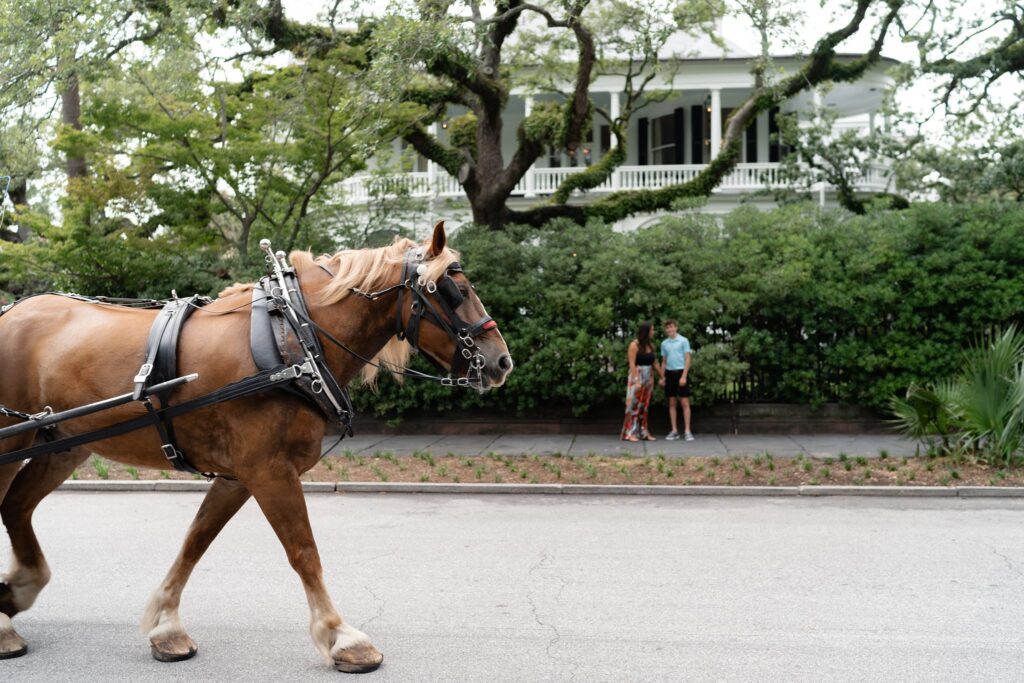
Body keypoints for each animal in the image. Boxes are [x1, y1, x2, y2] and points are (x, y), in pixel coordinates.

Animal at [0, 223, 512, 671]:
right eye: (454, 290)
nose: (502, 361)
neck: (294, 340)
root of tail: (11, 312)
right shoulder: (269, 471)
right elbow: (303, 551)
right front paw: (342, 637)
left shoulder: (238, 475)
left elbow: (196, 541)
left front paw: (166, 627)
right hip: (17, 439)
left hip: (62, 447)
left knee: (17, 508)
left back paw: (17, 592)